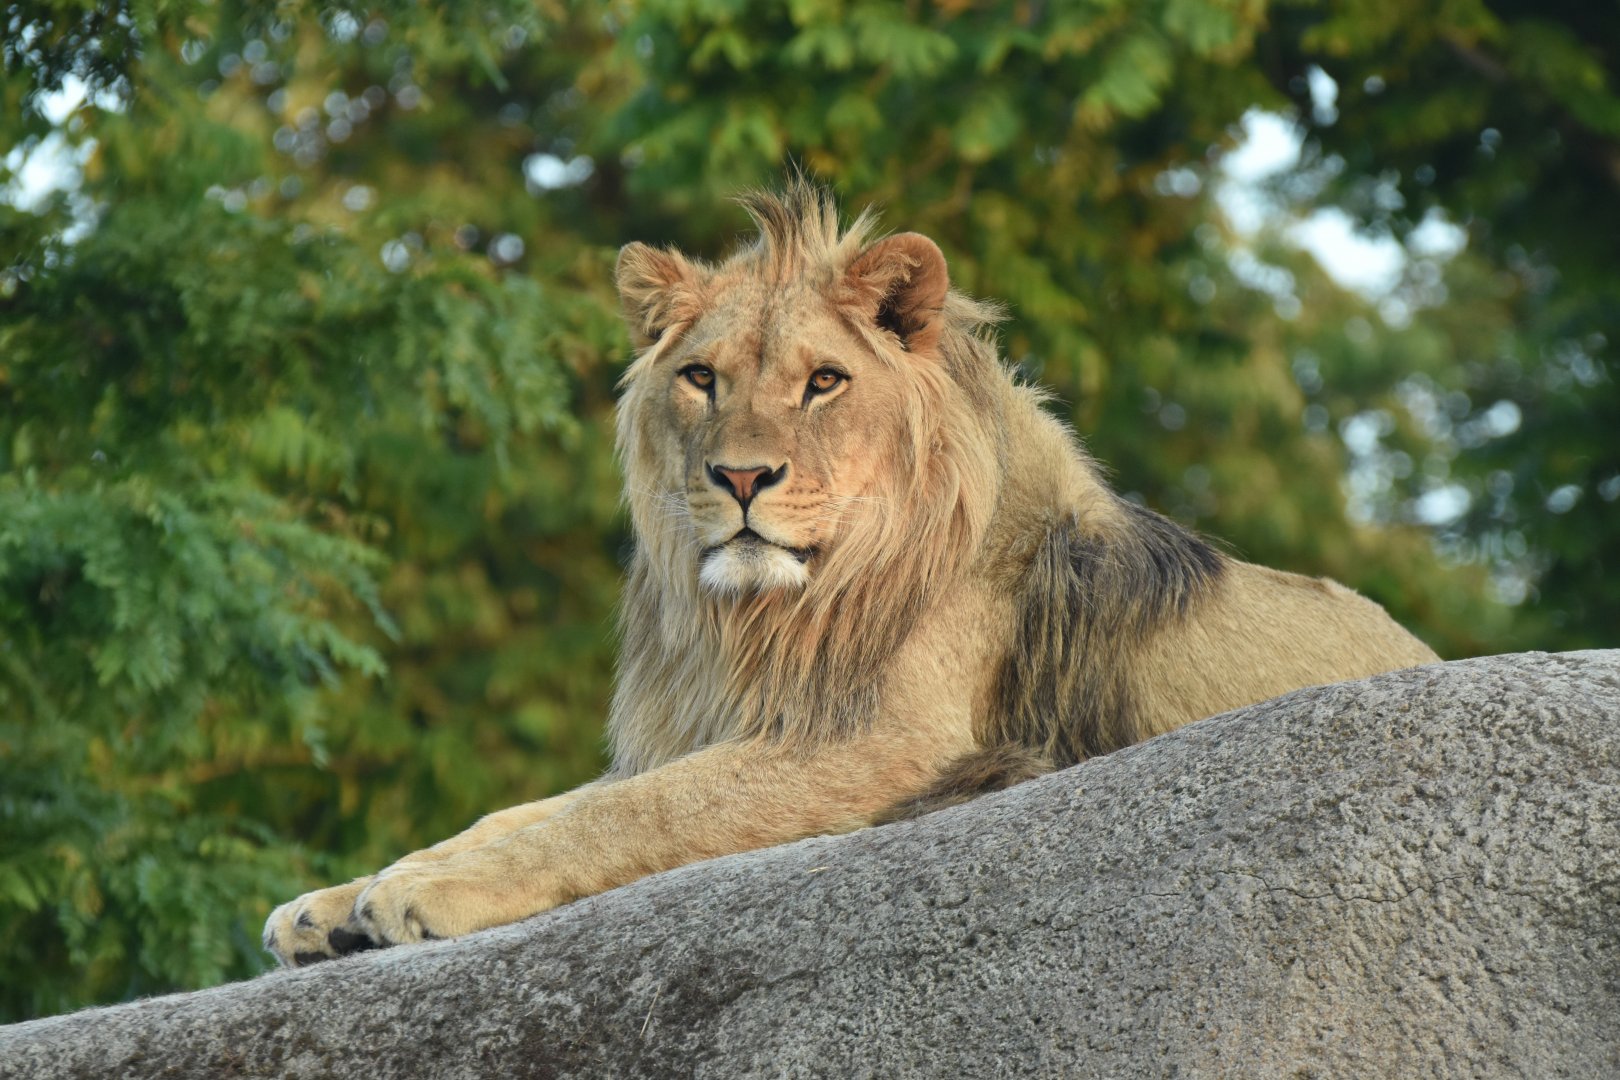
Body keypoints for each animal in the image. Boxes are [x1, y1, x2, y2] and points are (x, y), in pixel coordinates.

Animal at [263, 182, 1438, 966]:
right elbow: (531, 809)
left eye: (823, 382)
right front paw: (333, 900)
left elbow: (637, 815)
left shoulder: (884, 743)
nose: (742, 477)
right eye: (700, 378)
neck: (773, 612)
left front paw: (423, 890)